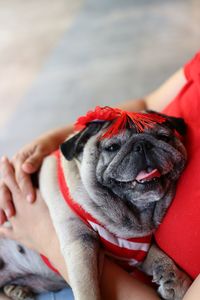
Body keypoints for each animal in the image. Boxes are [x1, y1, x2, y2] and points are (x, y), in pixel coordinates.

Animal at [0, 106, 191, 298]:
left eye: (163, 137)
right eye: (113, 147)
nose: (142, 144)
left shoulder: (136, 253)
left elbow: (157, 255)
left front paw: (175, 278)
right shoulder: (80, 243)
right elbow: (87, 286)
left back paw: (16, 290)